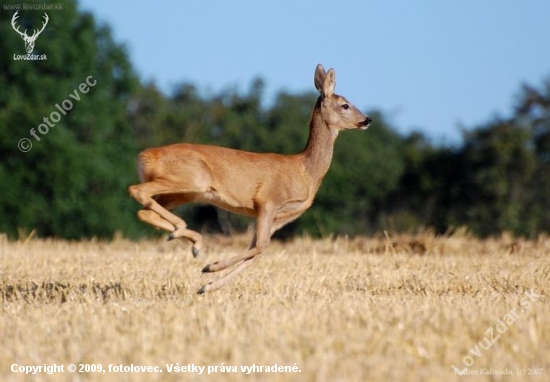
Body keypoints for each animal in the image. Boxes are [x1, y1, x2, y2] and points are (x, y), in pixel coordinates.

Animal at [128, 64, 376, 294]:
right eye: (345, 105)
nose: (367, 120)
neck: (306, 171)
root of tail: (144, 156)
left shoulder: (280, 218)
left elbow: (256, 251)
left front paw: (208, 286)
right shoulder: (268, 200)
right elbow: (260, 247)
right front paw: (211, 267)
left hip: (187, 192)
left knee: (145, 210)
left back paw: (186, 238)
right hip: (193, 179)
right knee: (137, 190)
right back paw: (189, 237)